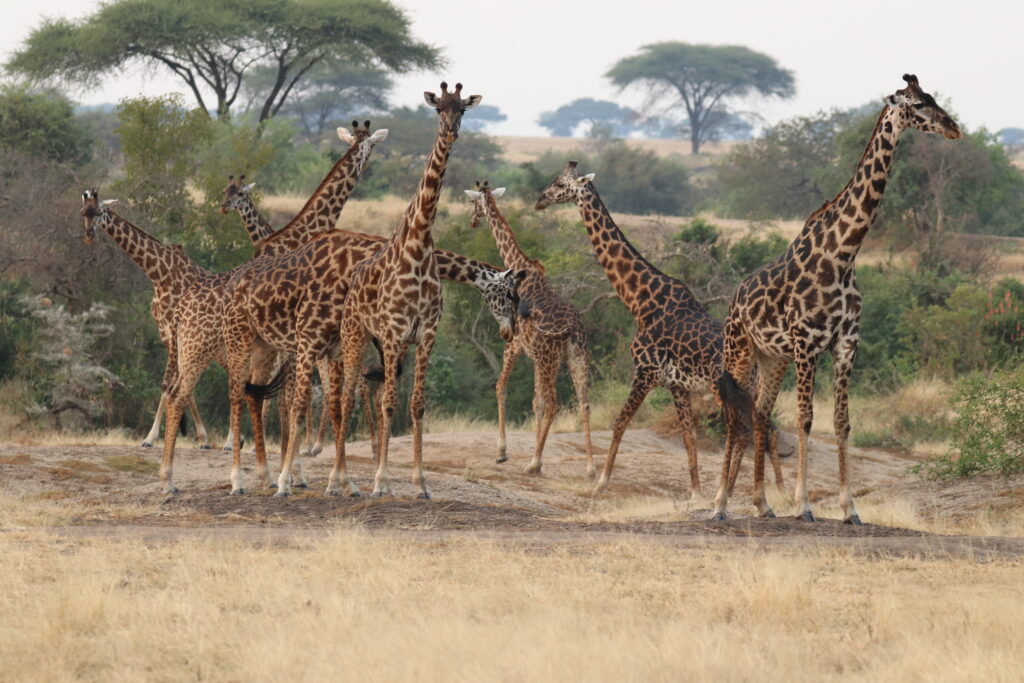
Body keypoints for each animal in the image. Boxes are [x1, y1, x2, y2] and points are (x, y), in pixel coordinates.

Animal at [78, 189, 217, 450]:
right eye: (83, 212)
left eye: (99, 212)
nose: (89, 236)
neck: (159, 274)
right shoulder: (164, 332)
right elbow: (179, 385)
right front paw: (201, 438)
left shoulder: (174, 331)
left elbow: (168, 384)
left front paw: (151, 438)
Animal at [331, 82, 483, 499]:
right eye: (438, 109)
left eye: (463, 108)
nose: (450, 131)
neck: (418, 245)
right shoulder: (396, 331)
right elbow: (388, 402)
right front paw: (381, 480)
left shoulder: (425, 333)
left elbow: (415, 404)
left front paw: (420, 482)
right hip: (356, 336)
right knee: (347, 397)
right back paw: (339, 480)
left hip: (384, 345)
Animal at [466, 183, 598, 481]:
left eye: (474, 203)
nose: (473, 221)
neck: (519, 264)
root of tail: (573, 329)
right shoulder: (533, 355)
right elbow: (535, 401)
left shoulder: (514, 344)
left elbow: (501, 387)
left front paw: (502, 453)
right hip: (576, 358)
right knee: (583, 402)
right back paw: (590, 468)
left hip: (550, 359)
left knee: (555, 403)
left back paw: (533, 464)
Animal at [536, 162, 782, 499]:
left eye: (560, 183)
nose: (539, 200)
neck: (641, 302)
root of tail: (755, 360)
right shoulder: (677, 385)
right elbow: (689, 436)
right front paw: (695, 494)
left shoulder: (645, 372)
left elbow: (619, 423)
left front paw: (601, 482)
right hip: (751, 388)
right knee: (761, 428)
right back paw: (745, 492)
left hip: (724, 389)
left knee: (744, 430)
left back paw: (730, 492)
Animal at [712, 74, 958, 524]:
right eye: (916, 104)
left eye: (934, 97)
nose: (953, 128)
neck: (844, 255)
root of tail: (734, 299)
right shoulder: (807, 343)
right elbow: (806, 419)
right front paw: (804, 505)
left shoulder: (846, 343)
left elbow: (842, 422)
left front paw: (850, 509)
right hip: (738, 350)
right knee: (733, 414)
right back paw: (719, 504)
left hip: (772, 357)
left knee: (758, 411)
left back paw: (761, 503)